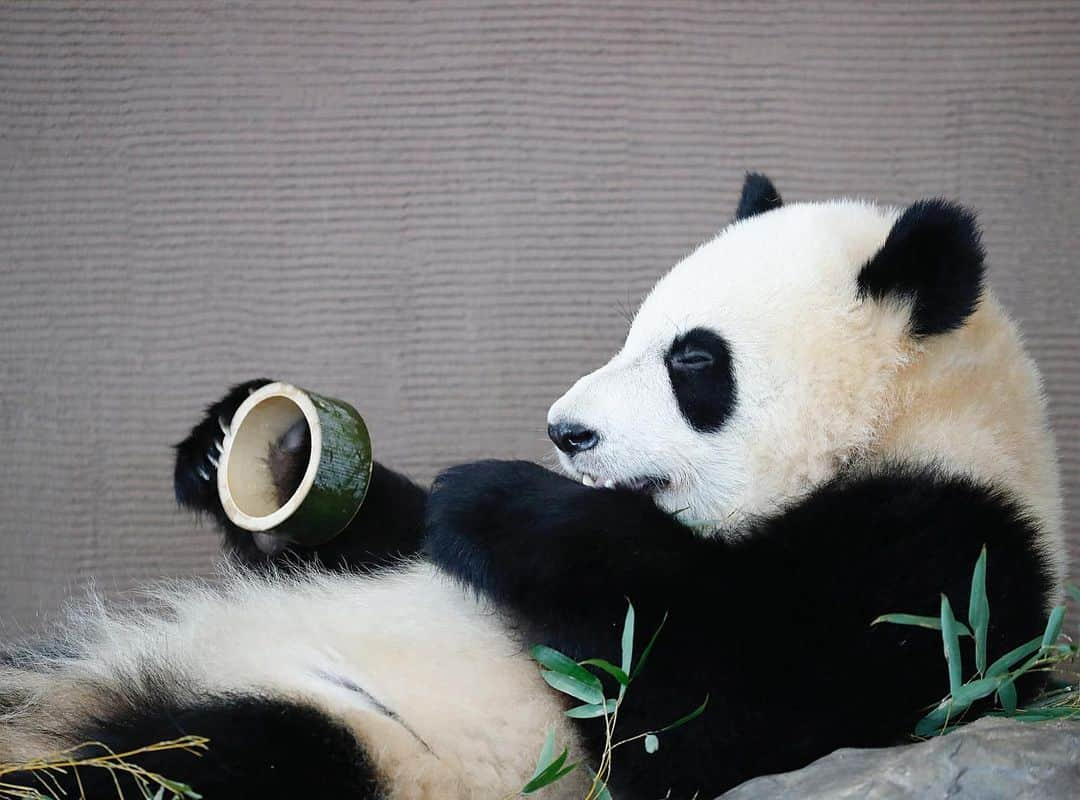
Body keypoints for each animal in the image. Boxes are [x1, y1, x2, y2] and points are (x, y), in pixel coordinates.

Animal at [0, 172, 1062, 794]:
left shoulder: (941, 573)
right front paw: (263, 448)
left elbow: (720, 718)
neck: (919, 428)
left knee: (204, 762)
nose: (566, 430)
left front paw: (495, 497)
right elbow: (385, 536)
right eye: (633, 330)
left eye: (693, 361)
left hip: (357, 743)